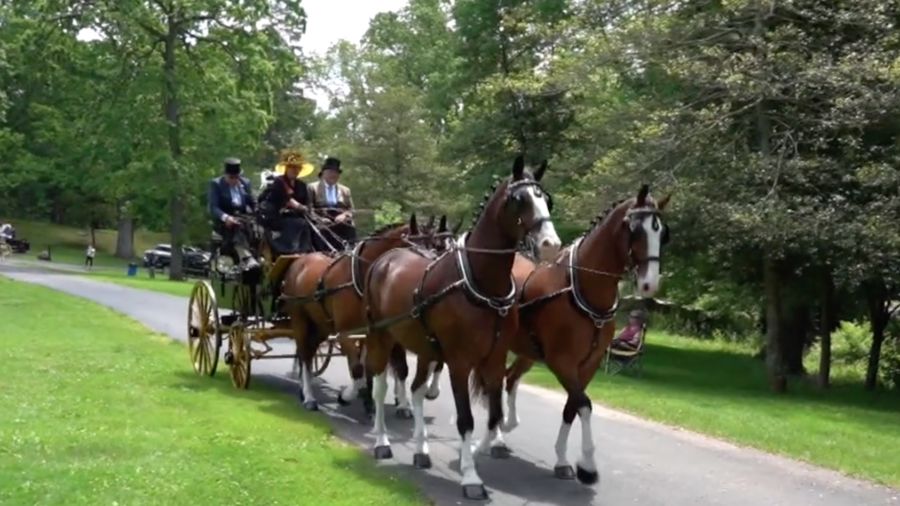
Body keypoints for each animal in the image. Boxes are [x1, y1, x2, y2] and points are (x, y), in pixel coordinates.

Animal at [280, 213, 445, 411]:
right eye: (416, 249)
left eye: (437, 247)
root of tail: (299, 260)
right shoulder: (345, 332)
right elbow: (358, 369)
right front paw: (347, 396)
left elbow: (386, 367)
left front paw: (388, 403)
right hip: (300, 319)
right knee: (305, 354)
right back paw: (309, 397)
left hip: (320, 325)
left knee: (310, 351)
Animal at [362, 155, 562, 500]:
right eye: (519, 199)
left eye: (545, 198)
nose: (550, 244)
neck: (482, 284)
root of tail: (385, 259)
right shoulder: (458, 361)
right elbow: (466, 419)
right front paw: (470, 477)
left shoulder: (494, 360)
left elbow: (493, 416)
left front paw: (482, 451)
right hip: (380, 336)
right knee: (380, 387)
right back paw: (381, 441)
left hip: (425, 348)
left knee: (416, 390)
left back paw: (421, 450)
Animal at [491, 184, 670, 486]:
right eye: (635, 230)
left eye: (663, 233)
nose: (649, 284)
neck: (581, 290)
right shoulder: (562, 361)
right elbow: (583, 404)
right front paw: (587, 464)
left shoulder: (589, 364)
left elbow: (571, 407)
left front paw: (563, 460)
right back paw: (496, 439)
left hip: (528, 351)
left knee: (511, 377)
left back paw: (508, 423)